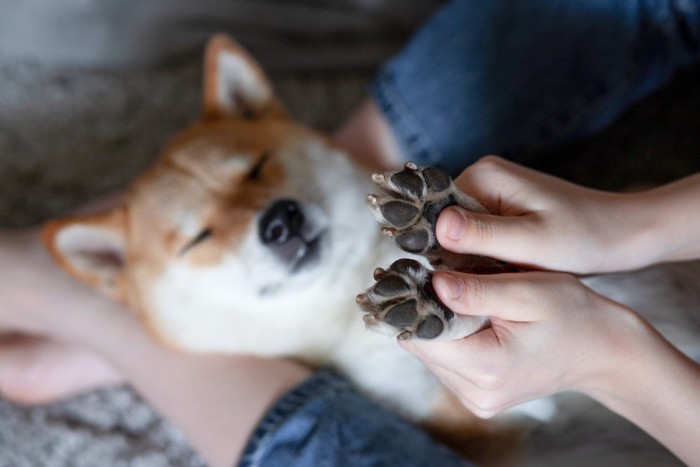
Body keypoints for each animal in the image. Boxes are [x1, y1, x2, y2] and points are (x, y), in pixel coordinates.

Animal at [42, 33, 700, 464]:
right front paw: (437, 304)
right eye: (196, 238)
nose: (278, 221)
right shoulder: (483, 425)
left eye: (257, 168)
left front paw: (440, 218)